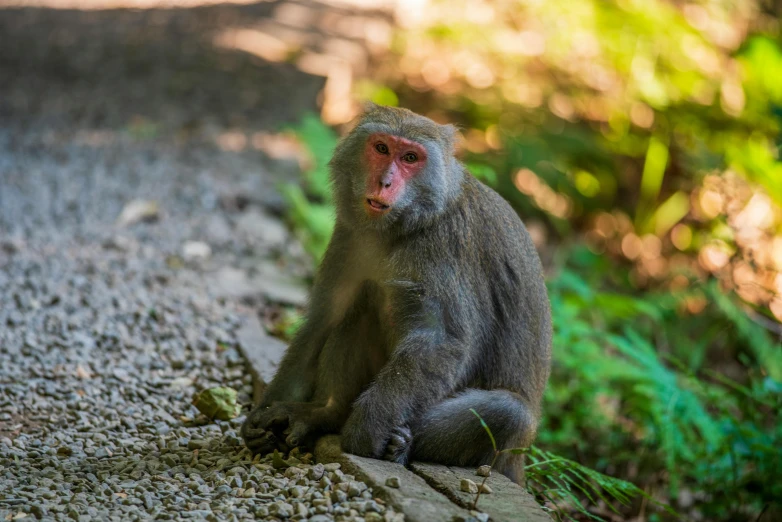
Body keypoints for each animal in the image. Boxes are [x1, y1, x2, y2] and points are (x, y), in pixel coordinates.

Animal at [242, 103, 556, 482]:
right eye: (381, 148)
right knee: (359, 308)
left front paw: (367, 429)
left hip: (504, 450)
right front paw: (261, 416)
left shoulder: (443, 245)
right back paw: (325, 414)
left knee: (510, 413)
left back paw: (400, 444)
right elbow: (324, 319)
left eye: (410, 158)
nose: (385, 182)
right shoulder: (349, 235)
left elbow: (441, 341)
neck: (401, 227)